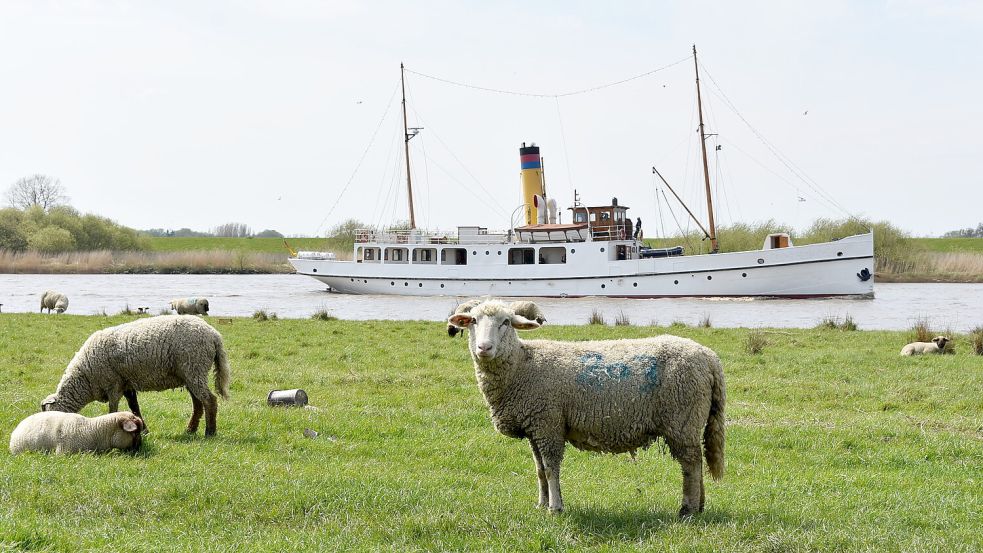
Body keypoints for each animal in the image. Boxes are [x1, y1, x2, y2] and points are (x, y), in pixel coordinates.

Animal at [41, 314, 232, 436]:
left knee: (209, 400)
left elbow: (113, 408)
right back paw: (190, 430)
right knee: (198, 403)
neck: (85, 378)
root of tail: (214, 334)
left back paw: (210, 432)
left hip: (194, 367)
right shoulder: (127, 384)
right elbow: (135, 407)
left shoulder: (114, 384)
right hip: (190, 373)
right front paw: (145, 430)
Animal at [450, 300, 728, 516]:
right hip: (688, 421)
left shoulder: (548, 424)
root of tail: (709, 357)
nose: (484, 348)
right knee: (697, 462)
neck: (522, 365)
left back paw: (687, 510)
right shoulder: (534, 427)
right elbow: (539, 471)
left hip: (682, 418)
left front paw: (555, 508)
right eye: (473, 321)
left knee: (691, 465)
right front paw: (541, 504)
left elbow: (551, 468)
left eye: (506, 322)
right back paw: (699, 506)